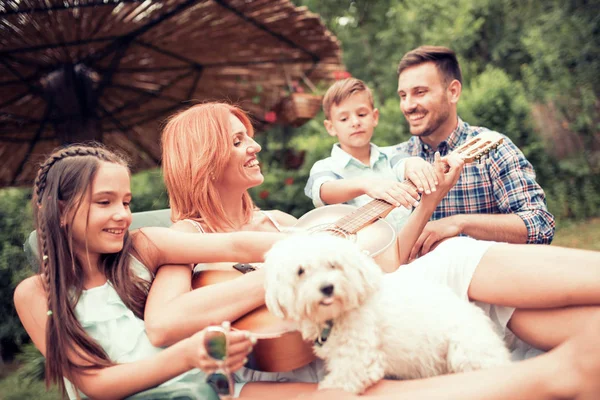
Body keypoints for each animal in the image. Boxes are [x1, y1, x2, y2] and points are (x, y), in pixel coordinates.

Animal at [264, 234, 510, 394]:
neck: (338, 316)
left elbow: (337, 384)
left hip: (466, 353)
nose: (327, 288)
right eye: (300, 271)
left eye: (333, 265)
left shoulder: (358, 363)